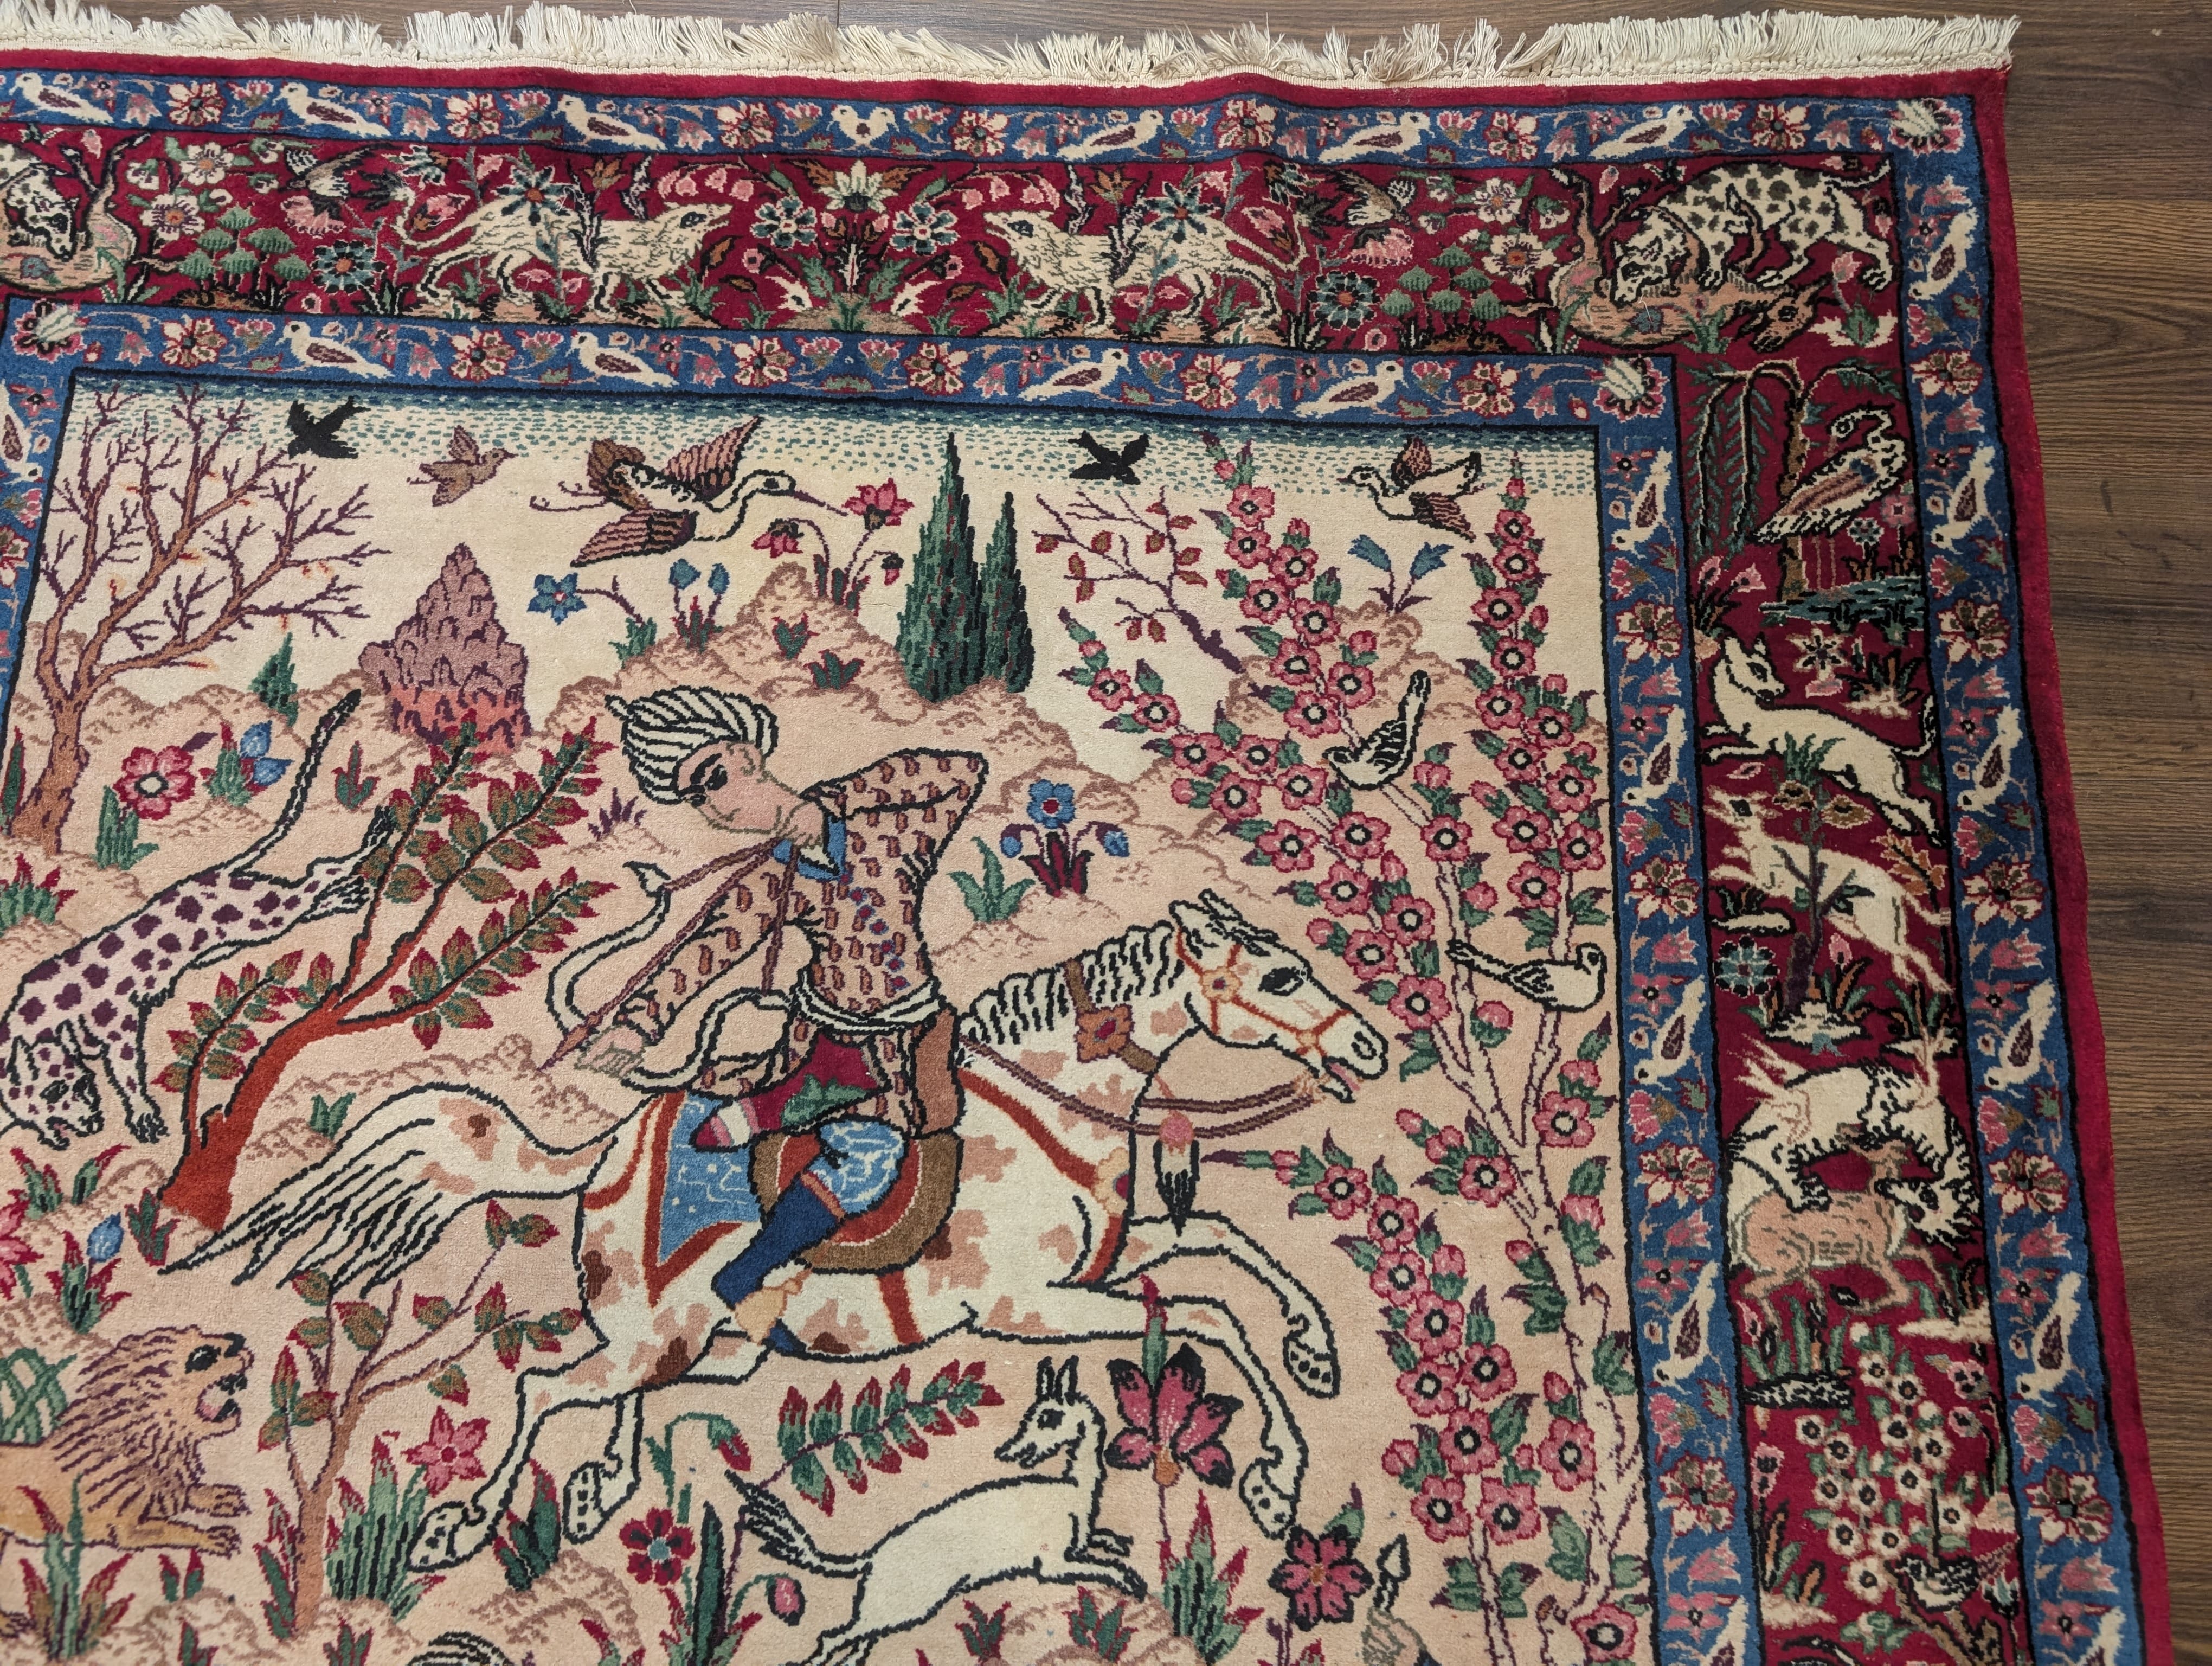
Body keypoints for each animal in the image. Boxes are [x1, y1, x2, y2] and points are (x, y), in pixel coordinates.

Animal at [177, 889, 1388, 1572]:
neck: (1049, 1106)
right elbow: (1205, 1316)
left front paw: (1318, 1354)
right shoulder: (1037, 1310)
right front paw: (1277, 1474)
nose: (1371, 1047)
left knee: (623, 1395)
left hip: (717, 1345)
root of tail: (606, 1153)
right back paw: (462, 1525)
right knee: (543, 1389)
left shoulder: (1110, 1264)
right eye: (1280, 971)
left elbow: (1228, 1250)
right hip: (661, 1334)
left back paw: (598, 1483)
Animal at [740, 1357, 1141, 1666]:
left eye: (1047, 1418)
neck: (1074, 1492)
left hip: (883, 1612)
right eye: (1033, 1417)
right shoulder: (1053, 1563)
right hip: (901, 1606)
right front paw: (1132, 1582)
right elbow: (1103, 1568)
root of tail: (869, 1558)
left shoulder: (1076, 1544)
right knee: (831, 1638)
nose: (1009, 1451)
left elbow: (1104, 1542)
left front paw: (1122, 1545)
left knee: (852, 1648)